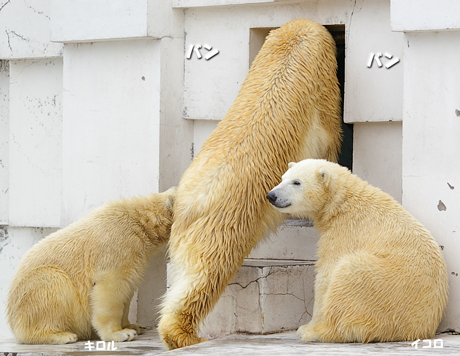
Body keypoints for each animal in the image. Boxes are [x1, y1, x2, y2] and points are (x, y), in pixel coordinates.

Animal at [7, 188, 176, 344]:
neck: (140, 222)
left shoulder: (137, 256)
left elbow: (128, 289)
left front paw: (134, 326)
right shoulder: (116, 246)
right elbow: (110, 289)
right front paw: (120, 333)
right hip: (33, 292)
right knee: (53, 283)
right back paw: (62, 335)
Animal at [158, 18, 342, 350]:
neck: (292, 44)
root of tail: (188, 202)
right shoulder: (323, 93)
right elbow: (328, 140)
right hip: (224, 220)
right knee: (208, 271)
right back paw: (186, 334)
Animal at [268, 160, 448, 344]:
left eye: (296, 182)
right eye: (283, 178)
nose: (271, 195)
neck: (342, 201)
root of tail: (417, 330)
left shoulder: (345, 232)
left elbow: (326, 275)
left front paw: (307, 327)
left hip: (385, 286)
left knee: (348, 275)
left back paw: (318, 332)